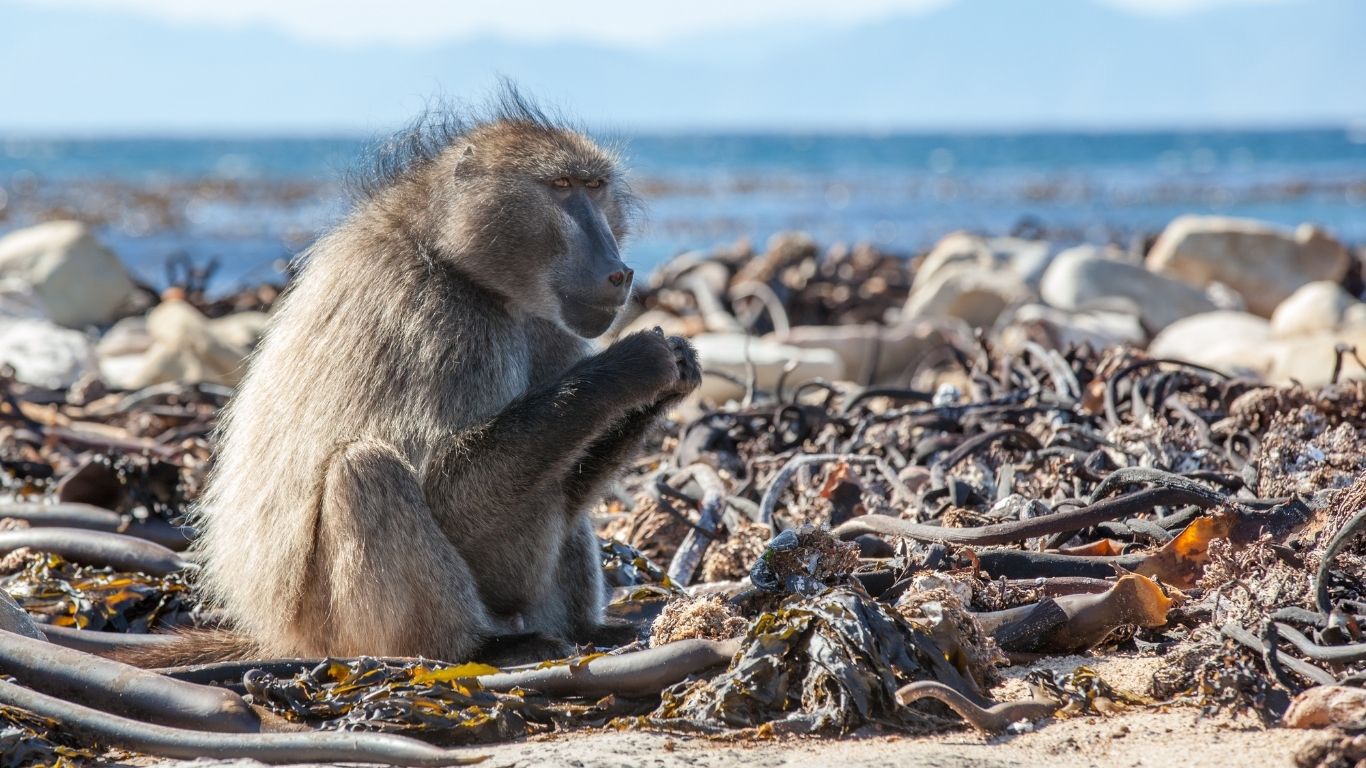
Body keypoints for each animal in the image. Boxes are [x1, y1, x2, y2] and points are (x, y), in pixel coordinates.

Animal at [126, 88, 700, 666]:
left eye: (595, 187)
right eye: (561, 187)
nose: (619, 271)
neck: (454, 259)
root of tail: (284, 637)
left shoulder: (551, 328)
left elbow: (566, 487)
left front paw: (677, 367)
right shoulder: (438, 320)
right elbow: (446, 494)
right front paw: (636, 362)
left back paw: (593, 631)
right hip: (339, 626)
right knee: (363, 470)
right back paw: (481, 646)